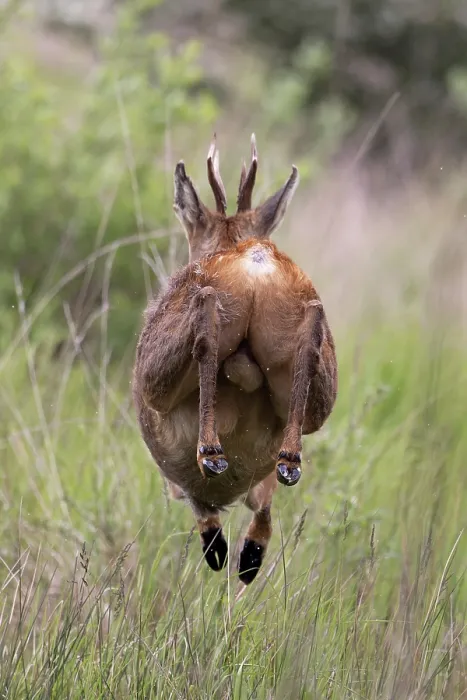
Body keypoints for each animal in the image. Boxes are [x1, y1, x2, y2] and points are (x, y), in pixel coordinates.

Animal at [133, 134, 338, 584]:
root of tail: (254, 256)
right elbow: (263, 512)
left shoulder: (184, 486)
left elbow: (209, 519)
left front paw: (234, 555)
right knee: (311, 331)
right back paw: (288, 463)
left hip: (170, 374)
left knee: (206, 318)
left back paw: (212, 455)